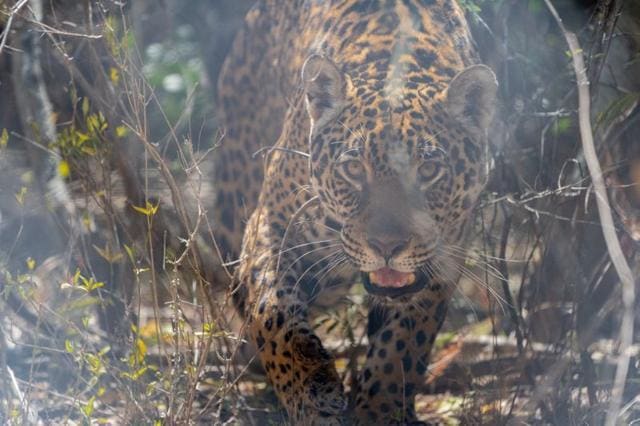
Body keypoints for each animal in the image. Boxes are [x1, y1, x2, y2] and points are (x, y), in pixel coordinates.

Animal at [211, 0, 498, 424]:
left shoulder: (442, 260)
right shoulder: (272, 229)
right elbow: (275, 315)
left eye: (428, 170)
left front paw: (380, 409)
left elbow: (402, 344)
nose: (387, 246)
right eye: (353, 169)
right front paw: (313, 395)